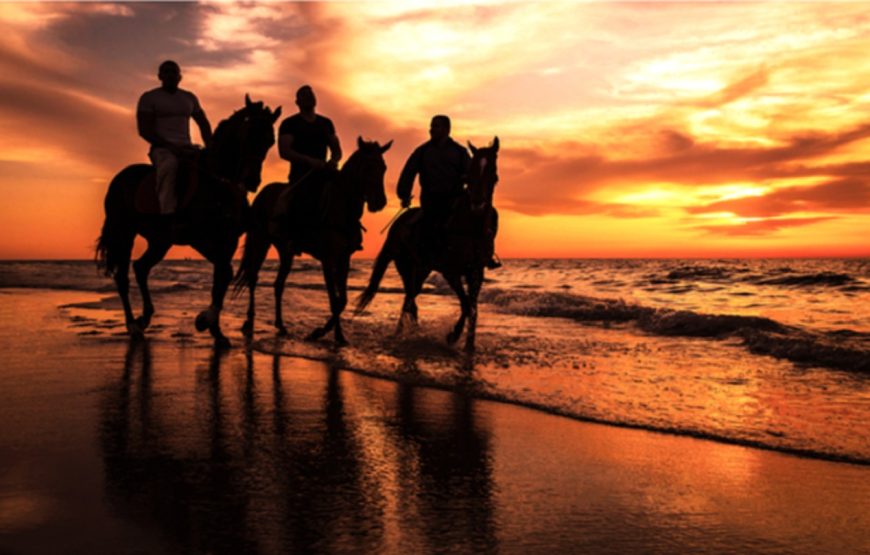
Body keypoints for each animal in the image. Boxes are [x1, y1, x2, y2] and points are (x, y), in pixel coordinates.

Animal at [96, 95, 282, 348]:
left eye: (270, 141)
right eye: (248, 134)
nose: (252, 181)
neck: (219, 183)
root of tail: (119, 178)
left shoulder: (227, 240)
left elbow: (222, 276)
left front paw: (215, 330)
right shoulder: (200, 239)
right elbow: (224, 272)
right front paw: (204, 321)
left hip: (160, 241)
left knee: (141, 268)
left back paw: (145, 317)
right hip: (124, 232)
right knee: (122, 276)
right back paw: (133, 325)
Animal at [235, 137, 392, 346]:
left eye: (383, 167)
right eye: (367, 166)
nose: (380, 202)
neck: (341, 208)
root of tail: (262, 194)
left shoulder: (344, 258)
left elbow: (342, 300)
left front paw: (325, 332)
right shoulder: (327, 259)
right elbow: (334, 299)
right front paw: (331, 335)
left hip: (285, 251)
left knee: (278, 284)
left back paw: (280, 325)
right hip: (260, 242)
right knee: (253, 278)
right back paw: (249, 321)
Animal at [358, 137, 500, 352]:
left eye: (493, 172)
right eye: (471, 173)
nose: (477, 204)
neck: (470, 226)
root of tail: (399, 222)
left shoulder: (476, 272)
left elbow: (473, 309)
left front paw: (469, 345)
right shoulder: (451, 272)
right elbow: (466, 305)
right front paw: (453, 335)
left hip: (422, 269)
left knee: (411, 297)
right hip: (405, 266)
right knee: (409, 297)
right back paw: (401, 332)